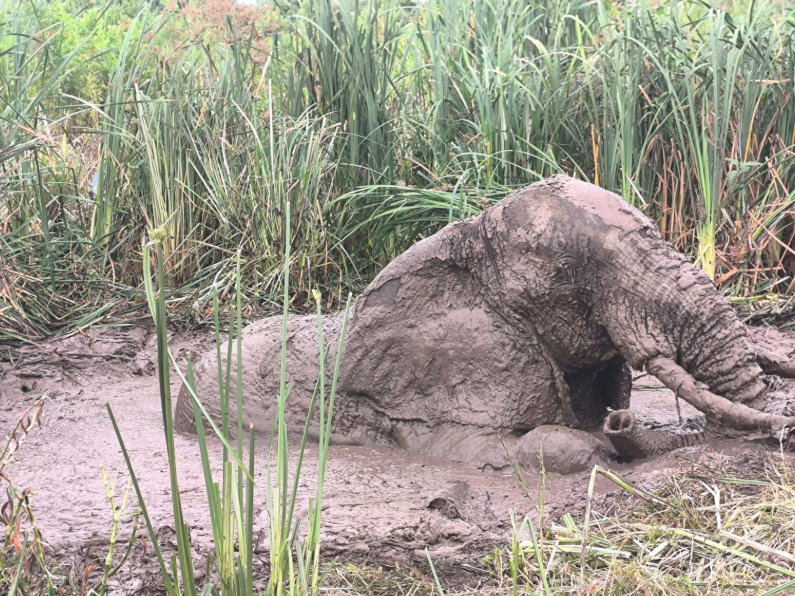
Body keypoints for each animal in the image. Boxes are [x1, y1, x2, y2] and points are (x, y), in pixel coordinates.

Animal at [175, 175, 795, 469]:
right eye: (569, 273)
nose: (623, 421)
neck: (471, 239)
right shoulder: (422, 407)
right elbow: (533, 447)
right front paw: (603, 443)